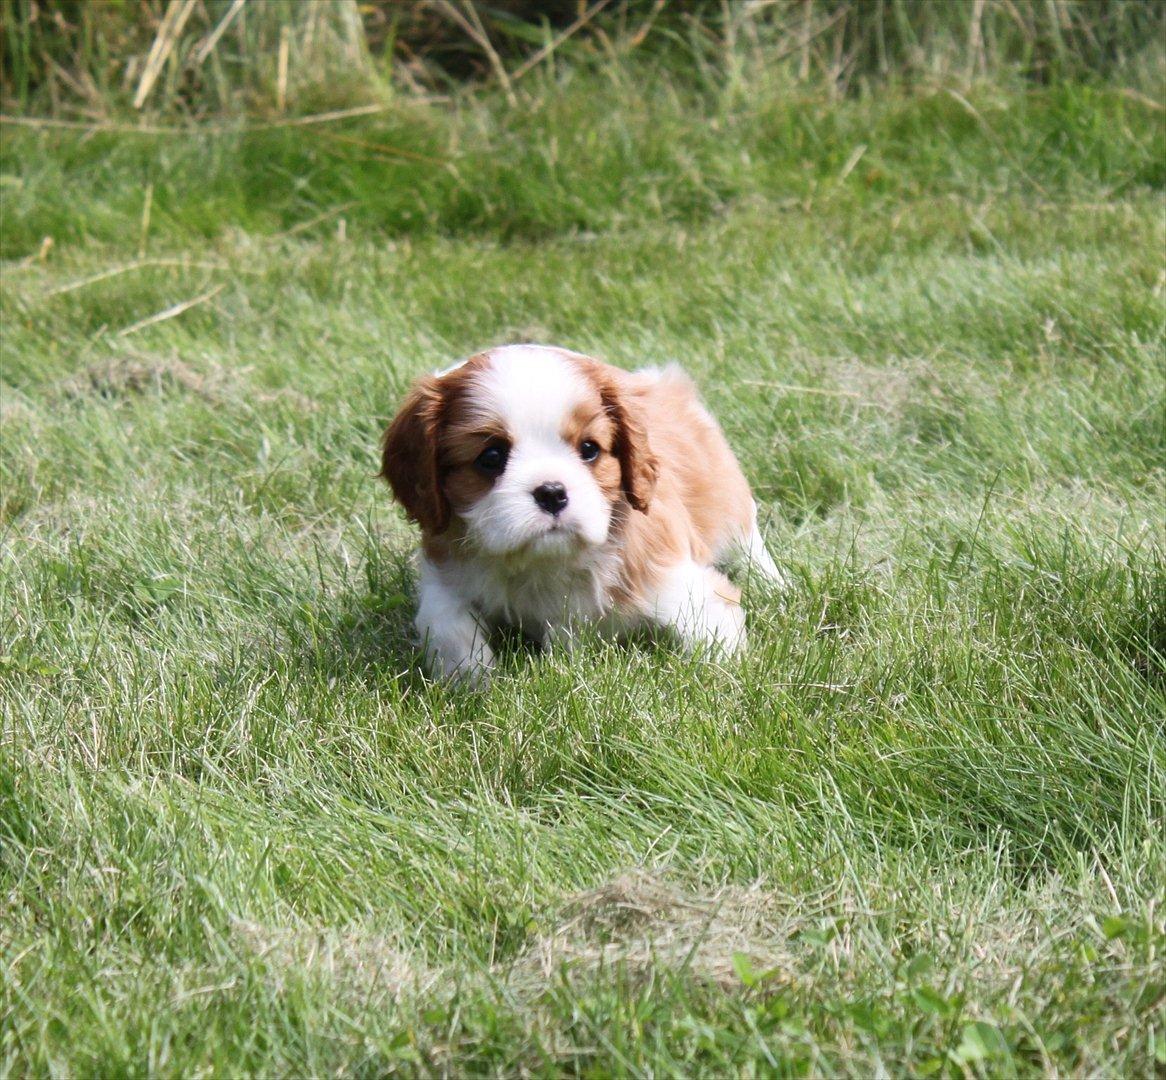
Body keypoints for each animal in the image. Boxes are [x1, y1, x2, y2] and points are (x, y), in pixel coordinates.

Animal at [380, 347, 783, 685]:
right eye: (491, 457)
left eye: (589, 449)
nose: (552, 492)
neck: (548, 563)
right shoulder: (445, 573)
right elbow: (445, 622)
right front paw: (470, 680)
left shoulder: (680, 586)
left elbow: (715, 640)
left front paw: (725, 682)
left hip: (728, 499)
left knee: (749, 541)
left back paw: (773, 584)